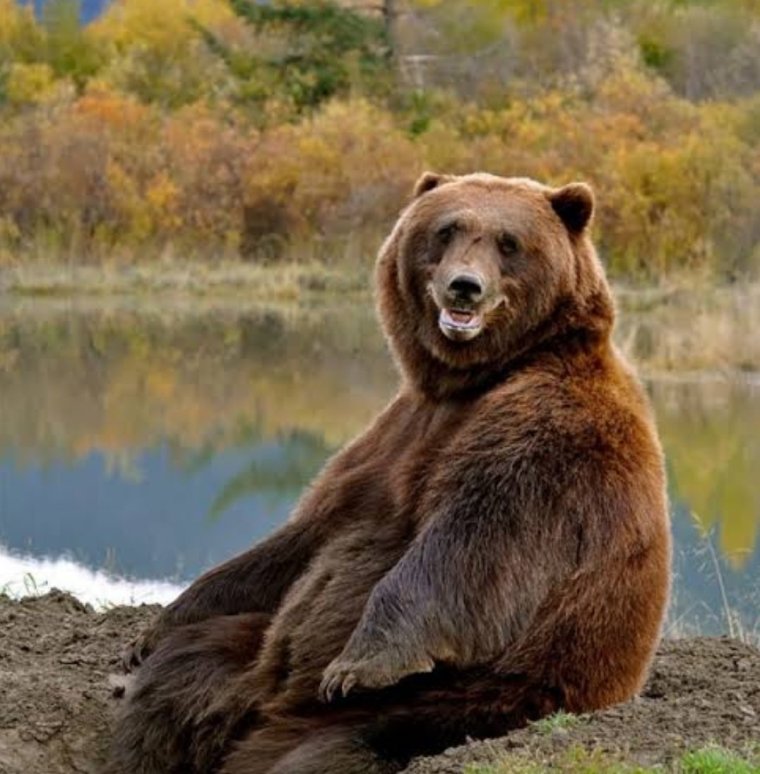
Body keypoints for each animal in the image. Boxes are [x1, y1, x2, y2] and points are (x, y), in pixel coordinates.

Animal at [106, 172, 671, 774]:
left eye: (509, 242)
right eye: (447, 230)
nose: (464, 287)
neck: (470, 380)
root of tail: (268, 715)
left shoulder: (546, 436)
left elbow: (476, 539)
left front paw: (359, 663)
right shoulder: (394, 436)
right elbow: (306, 536)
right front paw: (150, 631)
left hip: (459, 702)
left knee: (339, 749)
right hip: (244, 657)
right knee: (181, 678)